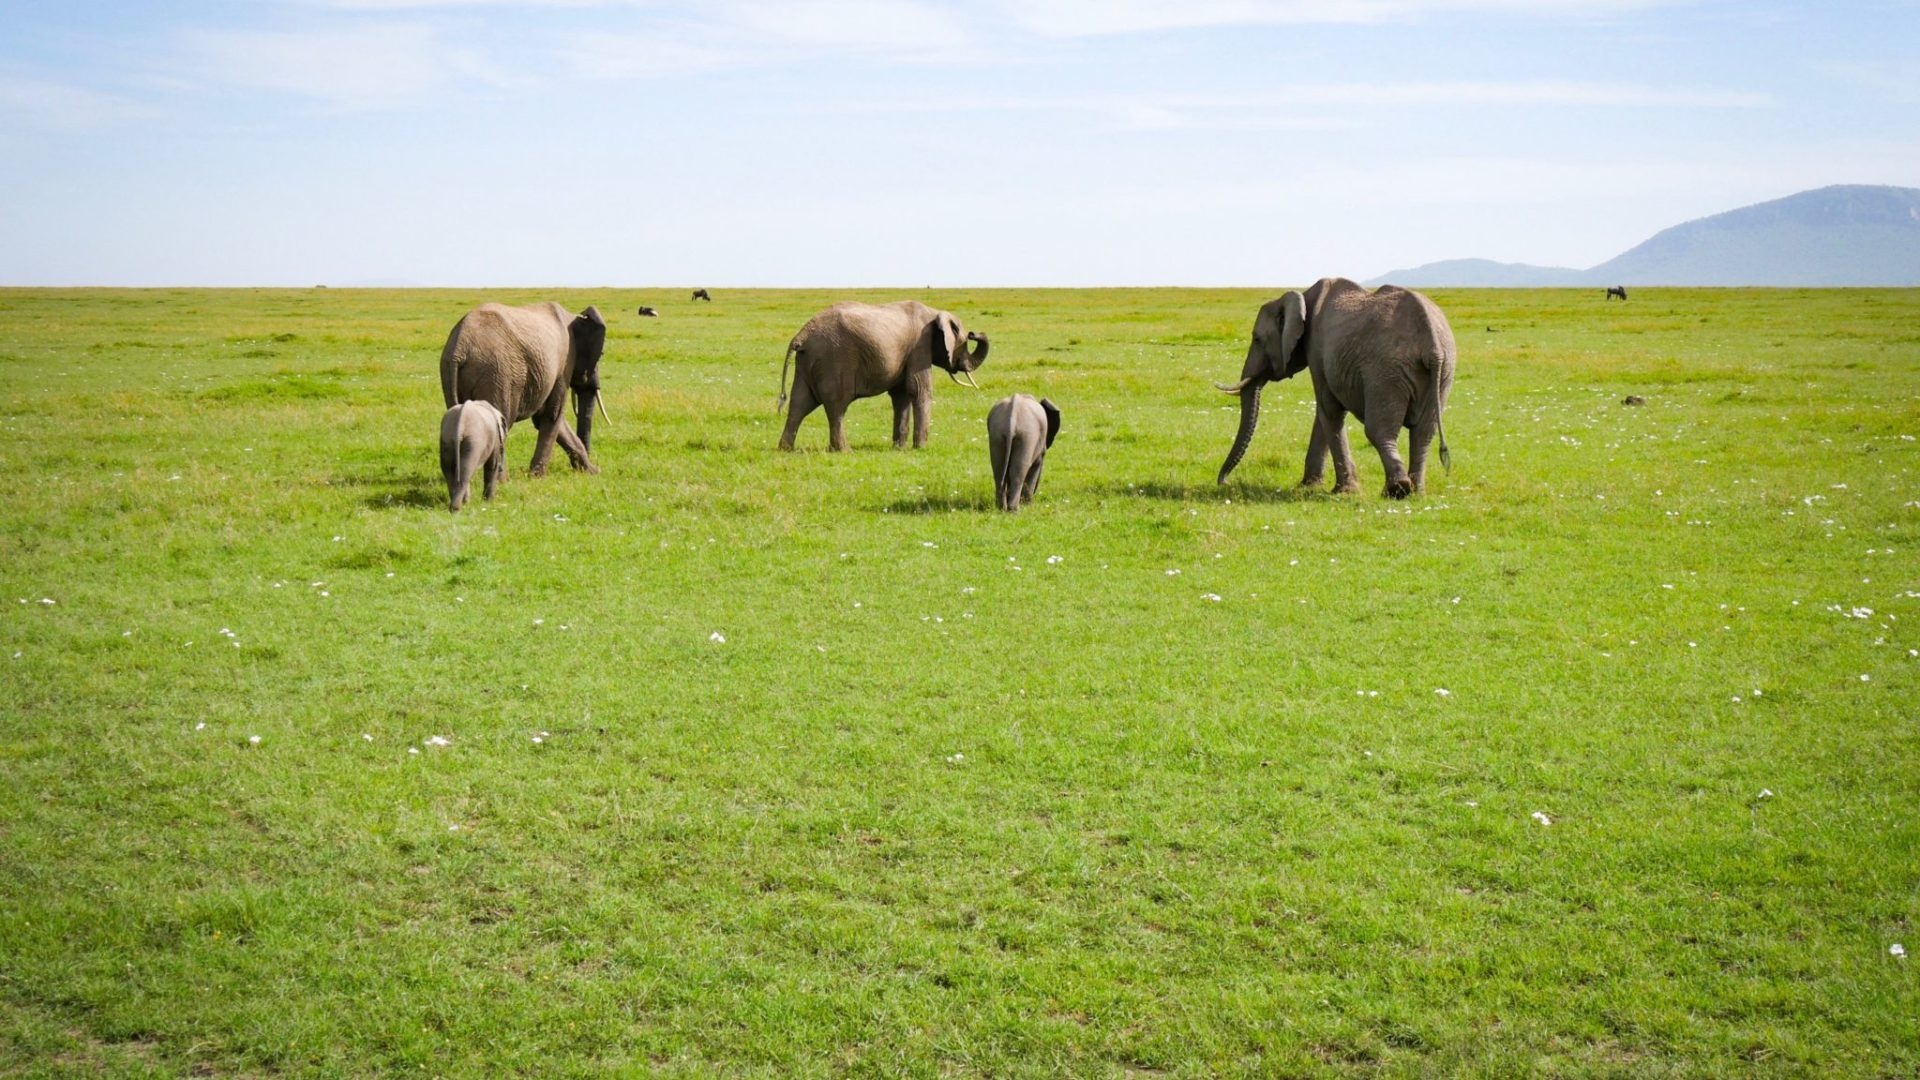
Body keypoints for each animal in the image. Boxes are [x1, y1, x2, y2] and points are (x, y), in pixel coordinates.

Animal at [439, 299, 606, 472]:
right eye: (601, 354)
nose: (594, 465)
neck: (574, 316)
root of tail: (459, 347)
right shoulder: (564, 362)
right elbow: (552, 414)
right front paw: (536, 475)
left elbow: (545, 416)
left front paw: (591, 472)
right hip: (497, 374)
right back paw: (503, 478)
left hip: (451, 372)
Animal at [775, 297, 990, 449]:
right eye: (965, 341)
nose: (974, 333)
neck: (935, 312)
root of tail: (802, 334)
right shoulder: (920, 346)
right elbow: (919, 389)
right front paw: (921, 448)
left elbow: (902, 395)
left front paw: (899, 448)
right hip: (833, 360)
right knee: (836, 405)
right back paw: (844, 450)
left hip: (806, 362)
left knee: (799, 403)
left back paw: (786, 449)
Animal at [1213, 274, 1451, 499]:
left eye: (1256, 339)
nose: (1225, 482)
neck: (1302, 297)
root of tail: (1431, 342)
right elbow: (1324, 413)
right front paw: (1309, 486)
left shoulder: (1317, 349)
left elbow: (1328, 409)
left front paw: (1343, 491)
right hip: (1442, 373)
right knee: (1424, 432)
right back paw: (1416, 492)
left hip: (1385, 371)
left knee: (1378, 430)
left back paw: (1396, 490)